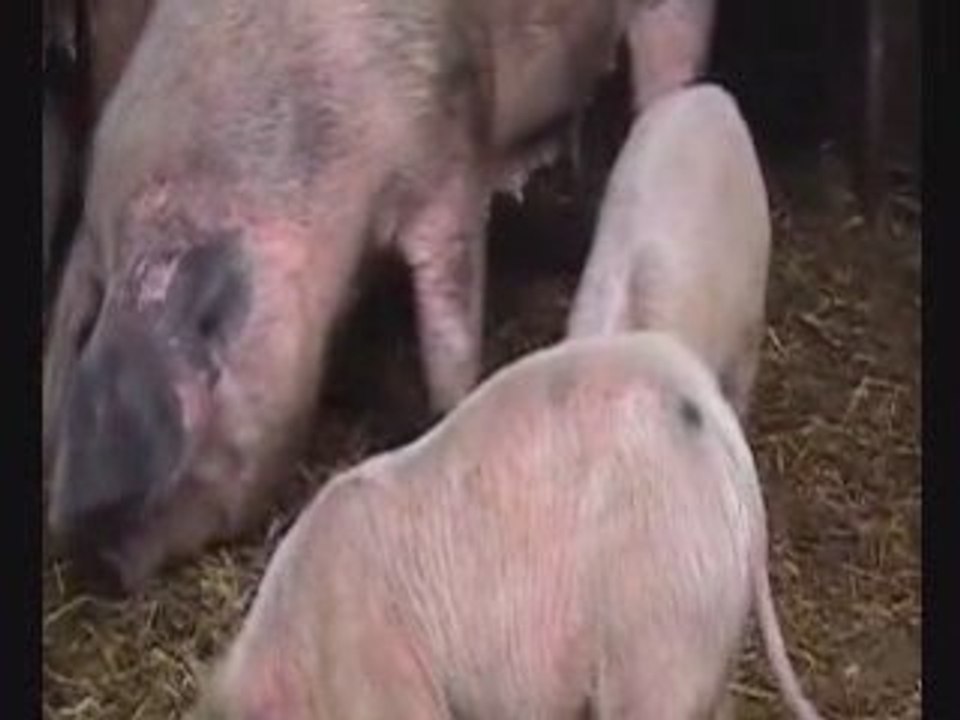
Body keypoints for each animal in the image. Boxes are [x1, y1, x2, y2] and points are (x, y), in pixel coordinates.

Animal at [42, 0, 718, 592]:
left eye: (208, 324)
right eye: (90, 330)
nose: (96, 563)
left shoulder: (446, 152)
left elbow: (449, 326)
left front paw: (446, 410)